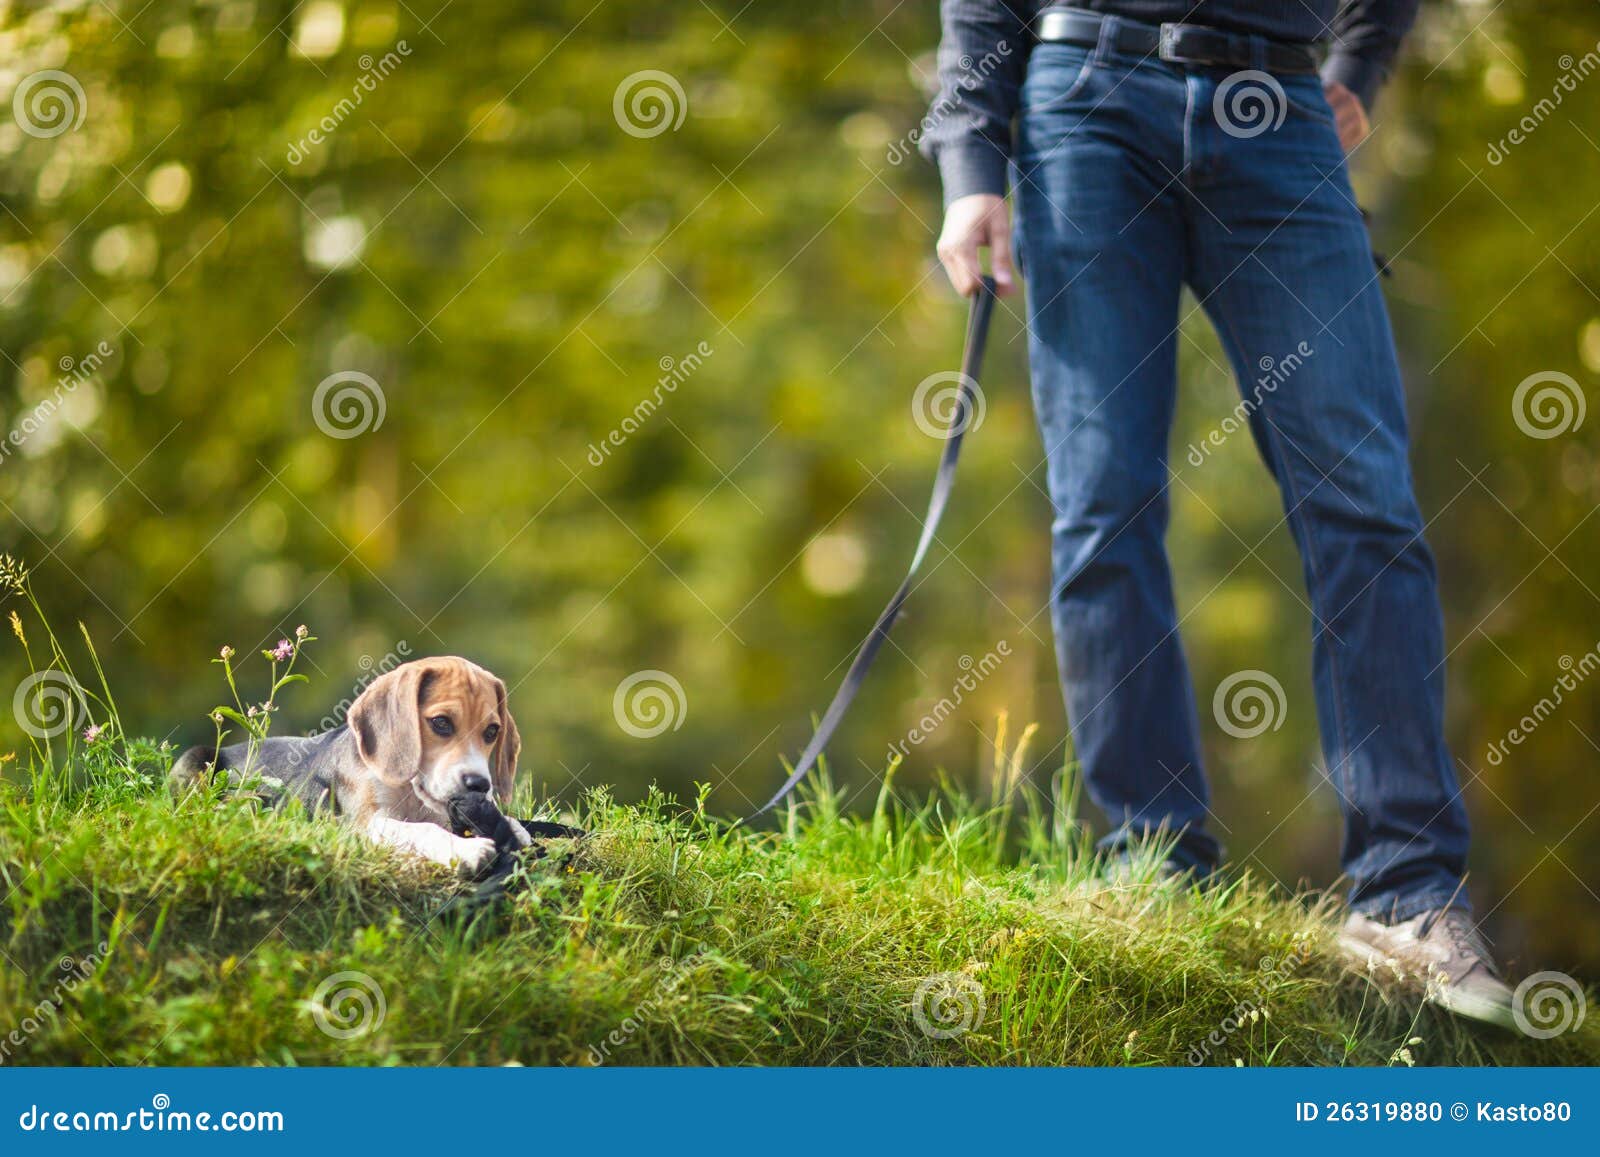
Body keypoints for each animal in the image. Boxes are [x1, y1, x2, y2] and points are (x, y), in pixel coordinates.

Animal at [172, 656, 528, 870]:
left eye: (492, 731)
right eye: (441, 722)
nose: (479, 785)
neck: (409, 791)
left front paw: (514, 826)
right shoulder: (361, 824)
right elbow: (421, 829)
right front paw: (466, 850)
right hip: (195, 761)